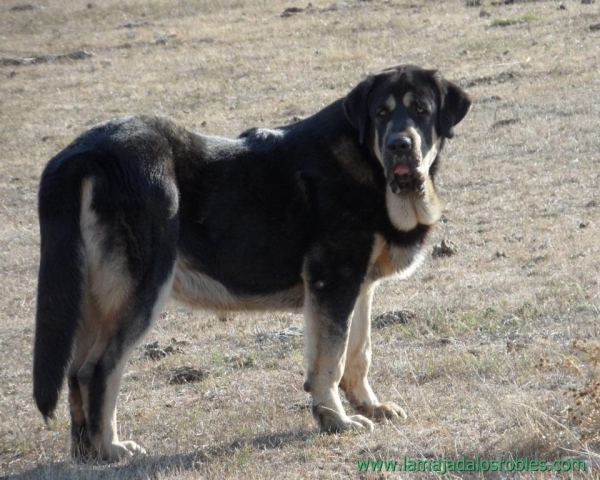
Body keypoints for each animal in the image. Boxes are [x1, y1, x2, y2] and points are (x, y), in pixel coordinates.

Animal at [32, 62, 472, 460]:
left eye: (421, 110)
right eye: (381, 113)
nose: (400, 144)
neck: (370, 161)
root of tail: (81, 154)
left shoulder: (357, 286)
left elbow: (357, 353)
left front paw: (369, 407)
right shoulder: (333, 282)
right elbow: (329, 360)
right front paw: (337, 421)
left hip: (92, 298)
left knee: (74, 372)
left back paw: (85, 452)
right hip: (142, 287)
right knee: (97, 370)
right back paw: (111, 448)